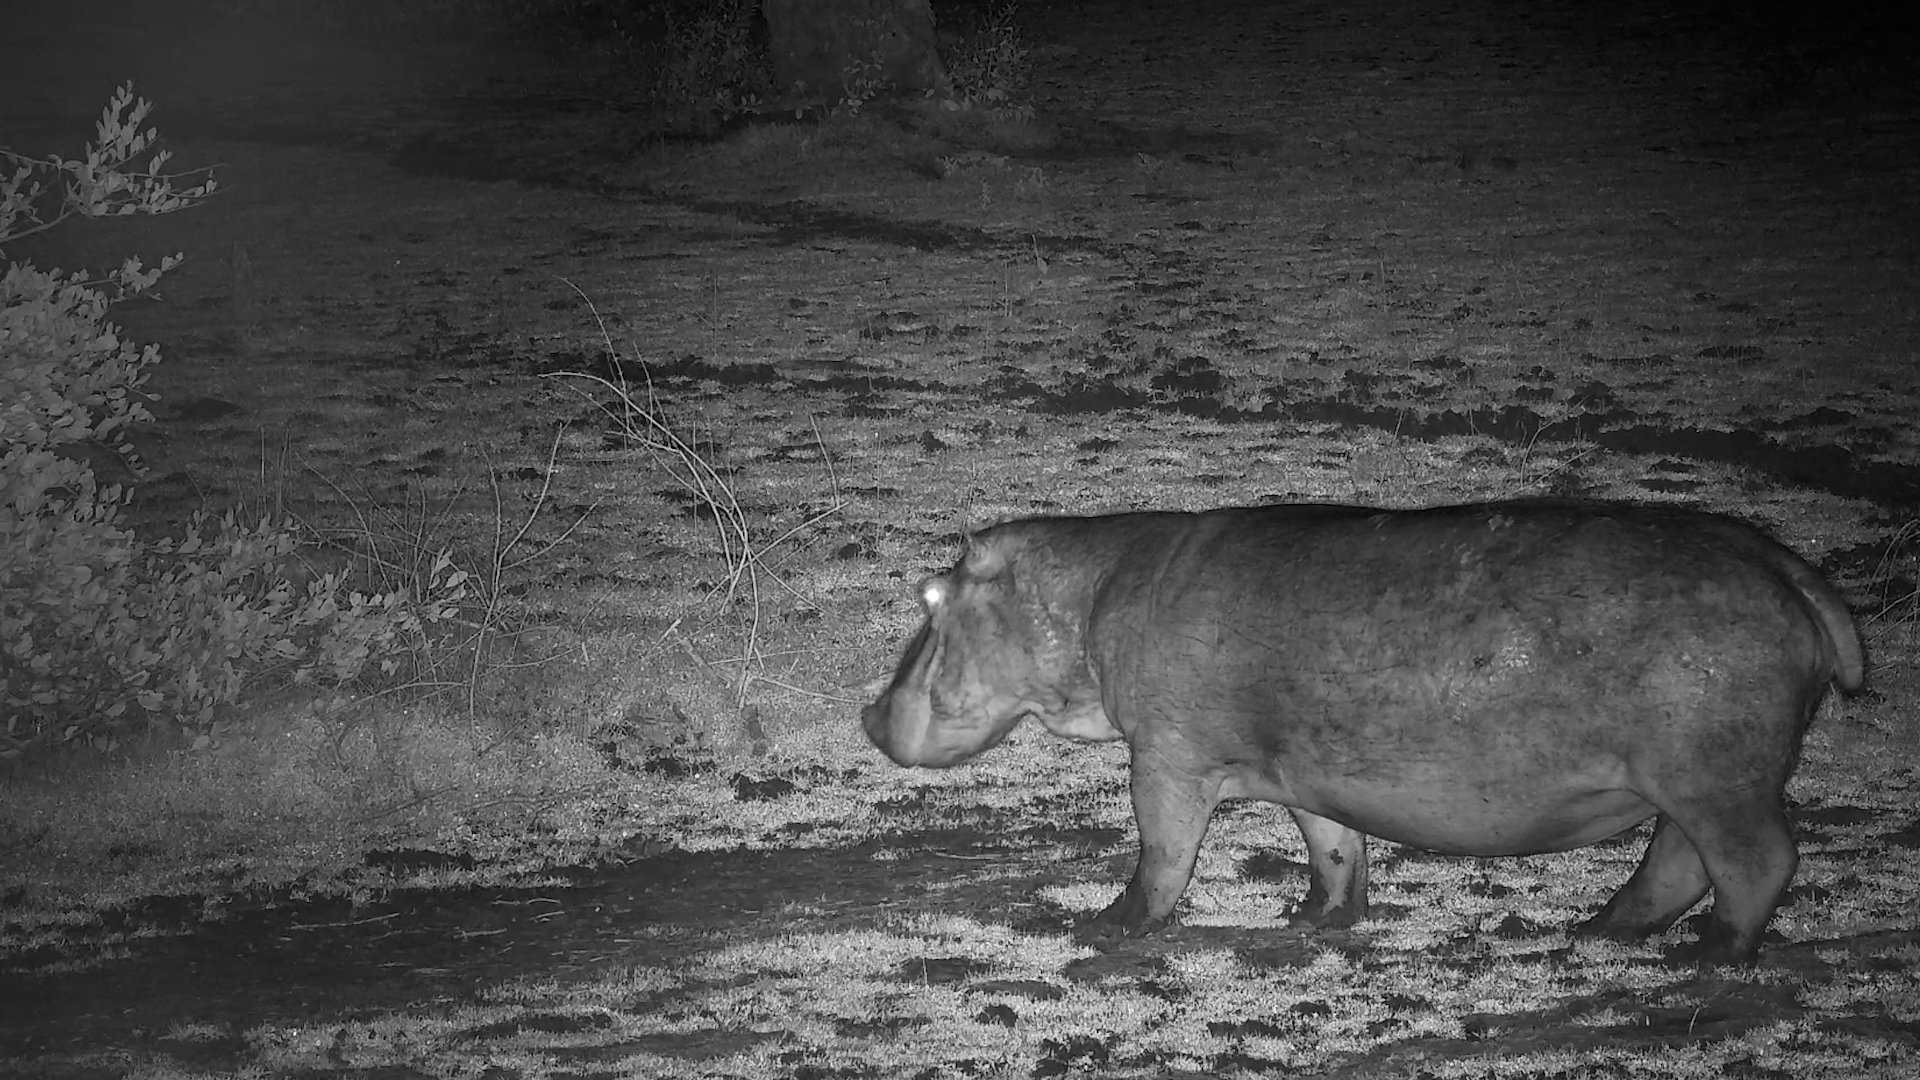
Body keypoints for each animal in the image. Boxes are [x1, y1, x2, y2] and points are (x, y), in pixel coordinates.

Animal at [862, 500, 1864, 965]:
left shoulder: (1168, 757)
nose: (868, 711)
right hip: (1692, 782)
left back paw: (1714, 957)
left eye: (929, 595)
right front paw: (1313, 917)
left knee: (1755, 860)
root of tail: (1789, 567)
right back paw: (1597, 931)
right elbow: (1333, 845)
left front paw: (1110, 925)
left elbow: (1162, 849)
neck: (1088, 596)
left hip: (1716, 775)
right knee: (1676, 862)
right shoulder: (1305, 772)